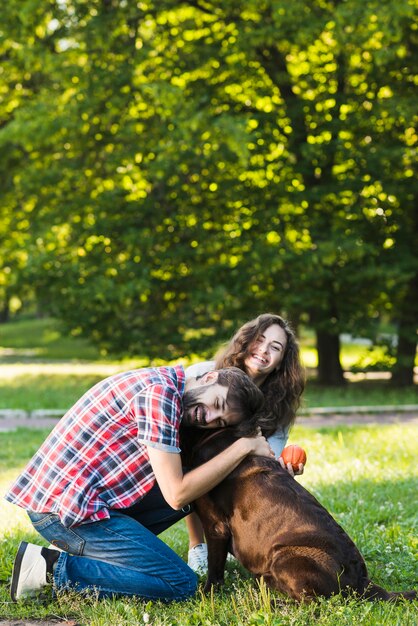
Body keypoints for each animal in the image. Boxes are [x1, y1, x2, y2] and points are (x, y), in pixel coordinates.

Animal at [182, 424, 418, 600]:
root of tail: (362, 580)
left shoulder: (216, 526)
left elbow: (214, 569)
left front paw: (206, 593)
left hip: (285, 556)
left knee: (311, 602)